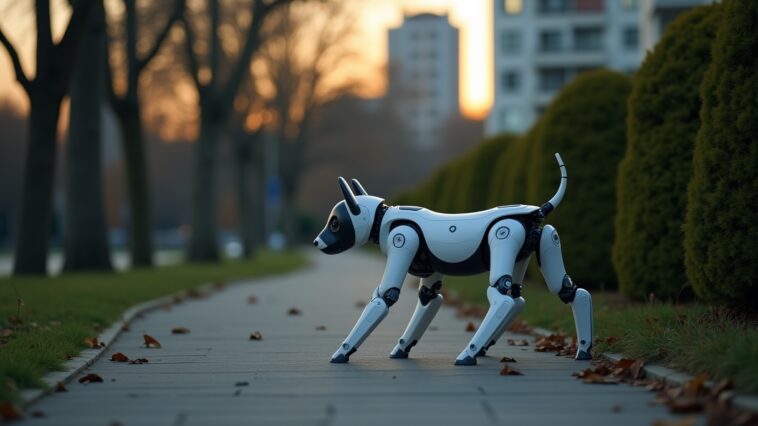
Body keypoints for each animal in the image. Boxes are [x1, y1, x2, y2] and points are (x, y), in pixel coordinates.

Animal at [314, 154, 592, 366]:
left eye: (335, 223)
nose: (317, 242)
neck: (383, 219)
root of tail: (538, 211)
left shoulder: (401, 240)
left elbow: (385, 296)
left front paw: (342, 352)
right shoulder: (431, 274)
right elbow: (429, 297)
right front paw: (401, 348)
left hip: (503, 236)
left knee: (502, 295)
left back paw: (469, 353)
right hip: (536, 246)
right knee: (558, 292)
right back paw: (583, 351)